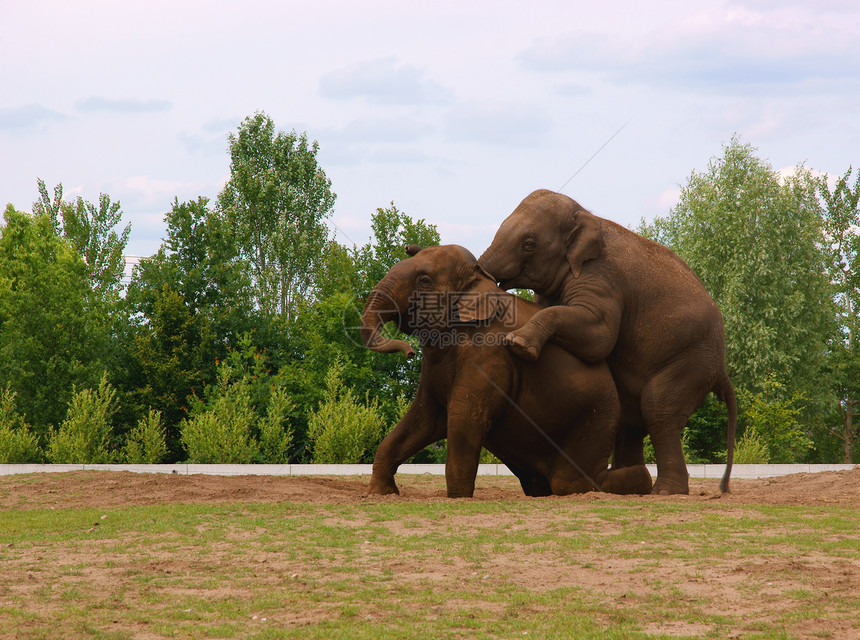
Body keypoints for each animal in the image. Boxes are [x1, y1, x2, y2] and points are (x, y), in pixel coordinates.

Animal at [358, 242, 652, 498]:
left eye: (425, 280)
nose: (408, 351)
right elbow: (422, 419)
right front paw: (380, 494)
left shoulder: (490, 355)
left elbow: (464, 420)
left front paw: (458, 498)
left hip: (592, 427)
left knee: (572, 482)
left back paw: (643, 481)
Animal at [480, 189, 736, 496]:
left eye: (528, 244)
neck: (587, 216)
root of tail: (722, 370)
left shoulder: (602, 276)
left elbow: (599, 336)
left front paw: (518, 345)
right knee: (632, 418)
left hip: (693, 360)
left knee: (658, 408)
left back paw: (664, 492)